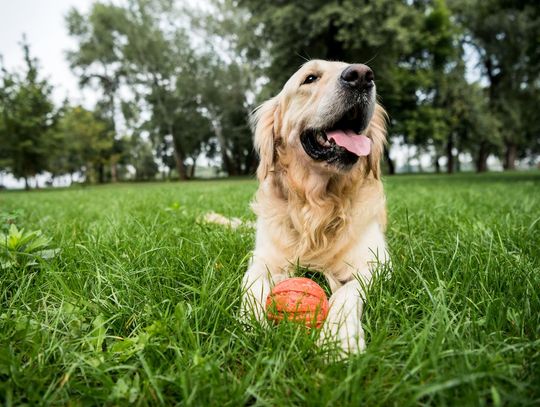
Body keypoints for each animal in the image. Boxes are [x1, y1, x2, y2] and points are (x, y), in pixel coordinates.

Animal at [243, 59, 390, 356]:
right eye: (310, 78)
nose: (361, 76)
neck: (317, 205)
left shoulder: (377, 263)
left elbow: (347, 291)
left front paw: (339, 339)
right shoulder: (261, 259)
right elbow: (252, 285)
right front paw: (252, 323)